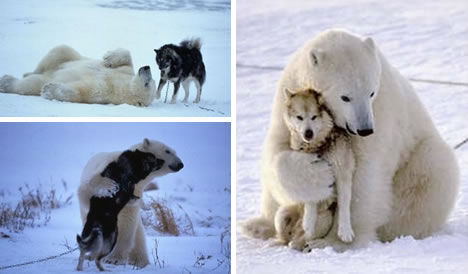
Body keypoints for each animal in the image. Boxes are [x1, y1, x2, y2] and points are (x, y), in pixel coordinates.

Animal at [0, 45, 157, 106]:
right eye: (151, 81)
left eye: (148, 83)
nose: (147, 67)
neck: (123, 85)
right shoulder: (125, 72)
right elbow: (127, 59)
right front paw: (109, 57)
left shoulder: (105, 91)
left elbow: (81, 91)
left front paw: (49, 89)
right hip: (66, 56)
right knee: (60, 51)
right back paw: (27, 72)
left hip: (42, 78)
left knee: (31, 84)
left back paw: (6, 82)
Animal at [274, 88, 354, 250]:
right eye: (299, 117)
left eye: (314, 117)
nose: (308, 133)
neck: (319, 147)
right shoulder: (310, 172)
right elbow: (311, 197)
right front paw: (309, 221)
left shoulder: (343, 171)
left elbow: (344, 202)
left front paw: (345, 231)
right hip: (283, 213)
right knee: (290, 238)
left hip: (326, 218)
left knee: (299, 240)